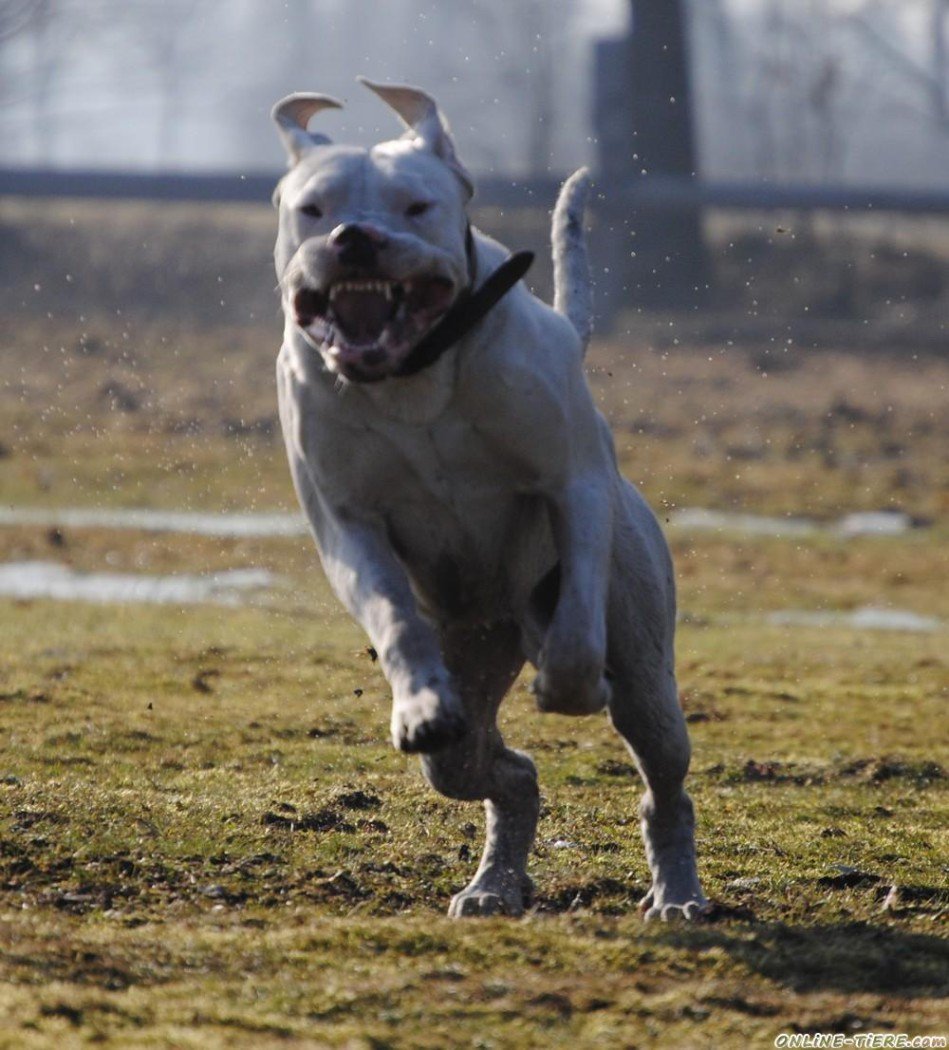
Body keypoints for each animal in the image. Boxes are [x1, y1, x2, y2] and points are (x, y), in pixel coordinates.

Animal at [266, 77, 705, 919]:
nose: (353, 237)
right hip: (470, 674)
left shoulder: (572, 485)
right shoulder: (348, 524)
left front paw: (568, 681)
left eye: (415, 206)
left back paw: (676, 890)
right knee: (502, 771)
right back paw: (494, 880)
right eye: (312, 207)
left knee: (661, 775)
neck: (414, 376)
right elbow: (393, 615)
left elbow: (576, 622)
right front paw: (417, 706)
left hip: (646, 681)